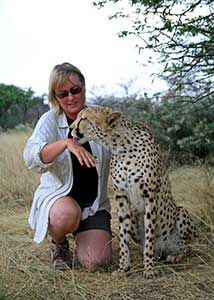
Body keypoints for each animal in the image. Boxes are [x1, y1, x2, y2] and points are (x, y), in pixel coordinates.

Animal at [70, 106, 196, 278]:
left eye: (83, 119)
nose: (70, 128)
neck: (120, 146)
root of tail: (163, 250)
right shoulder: (121, 197)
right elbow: (123, 235)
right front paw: (123, 268)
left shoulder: (150, 197)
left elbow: (149, 235)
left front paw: (149, 268)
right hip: (135, 214)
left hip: (181, 213)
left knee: (186, 246)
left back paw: (175, 256)